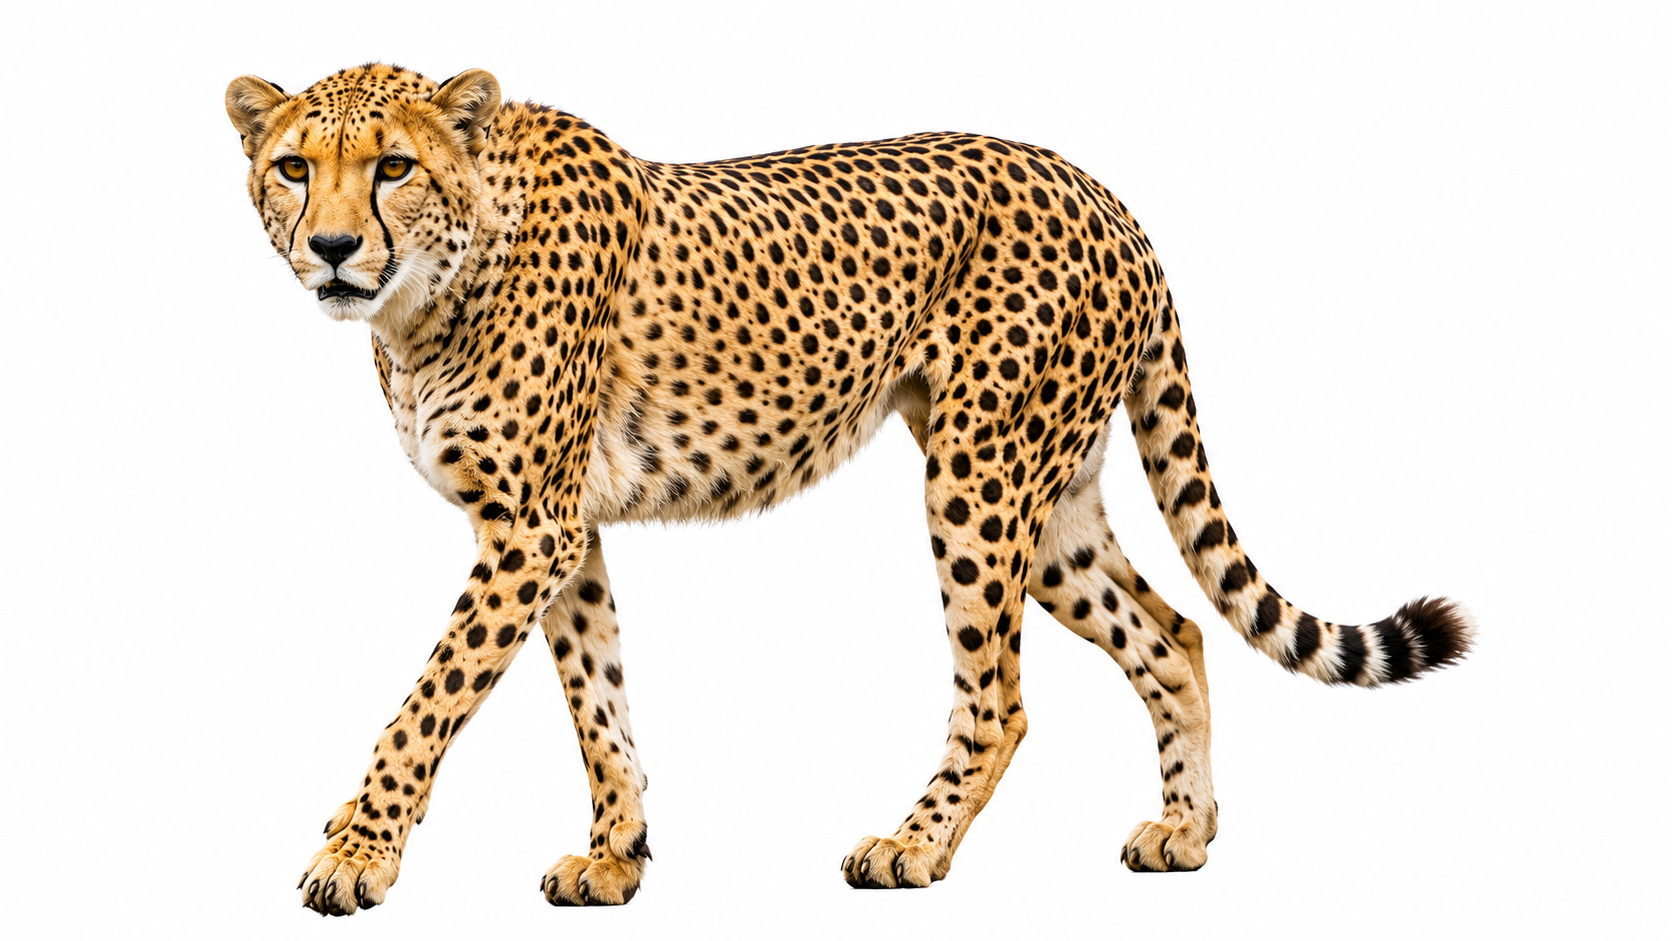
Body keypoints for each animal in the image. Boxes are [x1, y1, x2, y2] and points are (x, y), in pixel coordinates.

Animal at [225, 62, 1474, 916]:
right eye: (293, 167)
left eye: (393, 166)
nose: (332, 249)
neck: (431, 288)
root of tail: (1097, 186)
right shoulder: (561, 528)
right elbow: (596, 694)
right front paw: (617, 851)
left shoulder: (526, 527)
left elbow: (426, 699)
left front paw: (355, 852)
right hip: (1052, 498)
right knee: (1171, 631)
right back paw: (1186, 829)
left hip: (979, 472)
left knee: (1001, 695)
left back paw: (913, 843)